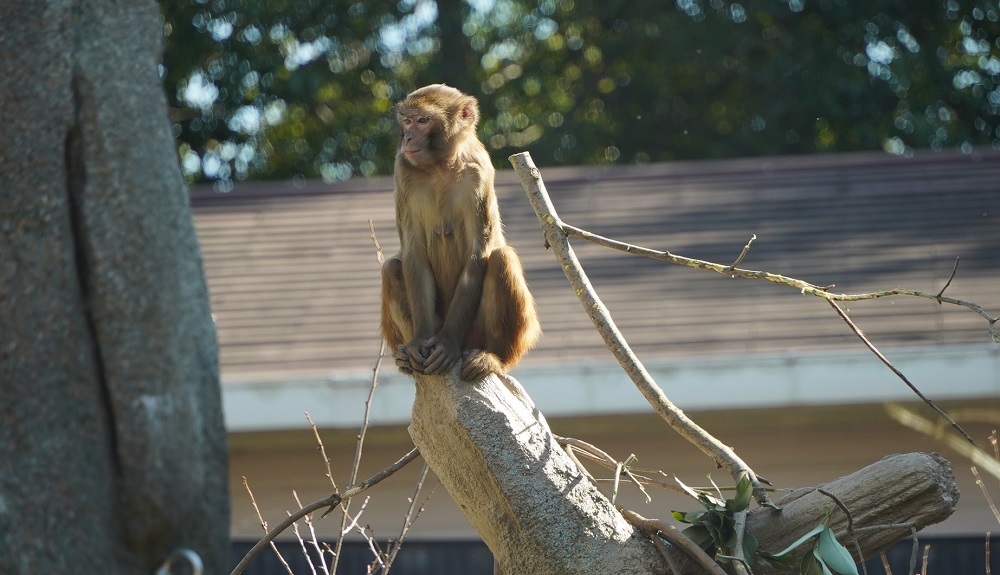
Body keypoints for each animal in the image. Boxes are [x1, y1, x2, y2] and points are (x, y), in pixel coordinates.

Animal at [380, 84, 540, 382]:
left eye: (423, 120)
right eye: (407, 121)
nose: (407, 137)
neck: (440, 164)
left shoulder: (479, 171)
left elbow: (479, 253)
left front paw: (447, 343)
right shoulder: (402, 169)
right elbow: (412, 252)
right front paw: (419, 342)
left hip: (487, 335)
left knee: (502, 259)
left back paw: (492, 359)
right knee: (392, 268)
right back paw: (405, 358)